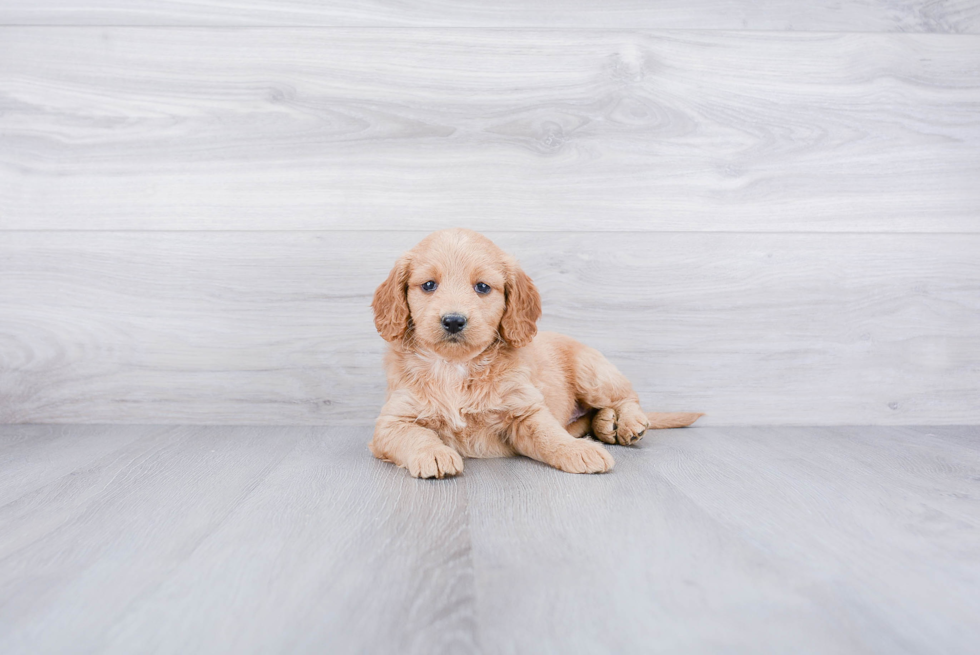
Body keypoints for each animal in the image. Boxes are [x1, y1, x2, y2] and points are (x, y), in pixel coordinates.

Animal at [368, 228, 696, 480]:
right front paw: (434, 454)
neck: (456, 366)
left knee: (628, 397)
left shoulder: (525, 411)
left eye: (482, 287)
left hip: (592, 373)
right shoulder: (392, 421)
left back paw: (627, 424)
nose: (453, 321)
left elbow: (550, 435)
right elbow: (415, 435)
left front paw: (578, 451)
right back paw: (605, 425)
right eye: (428, 285)